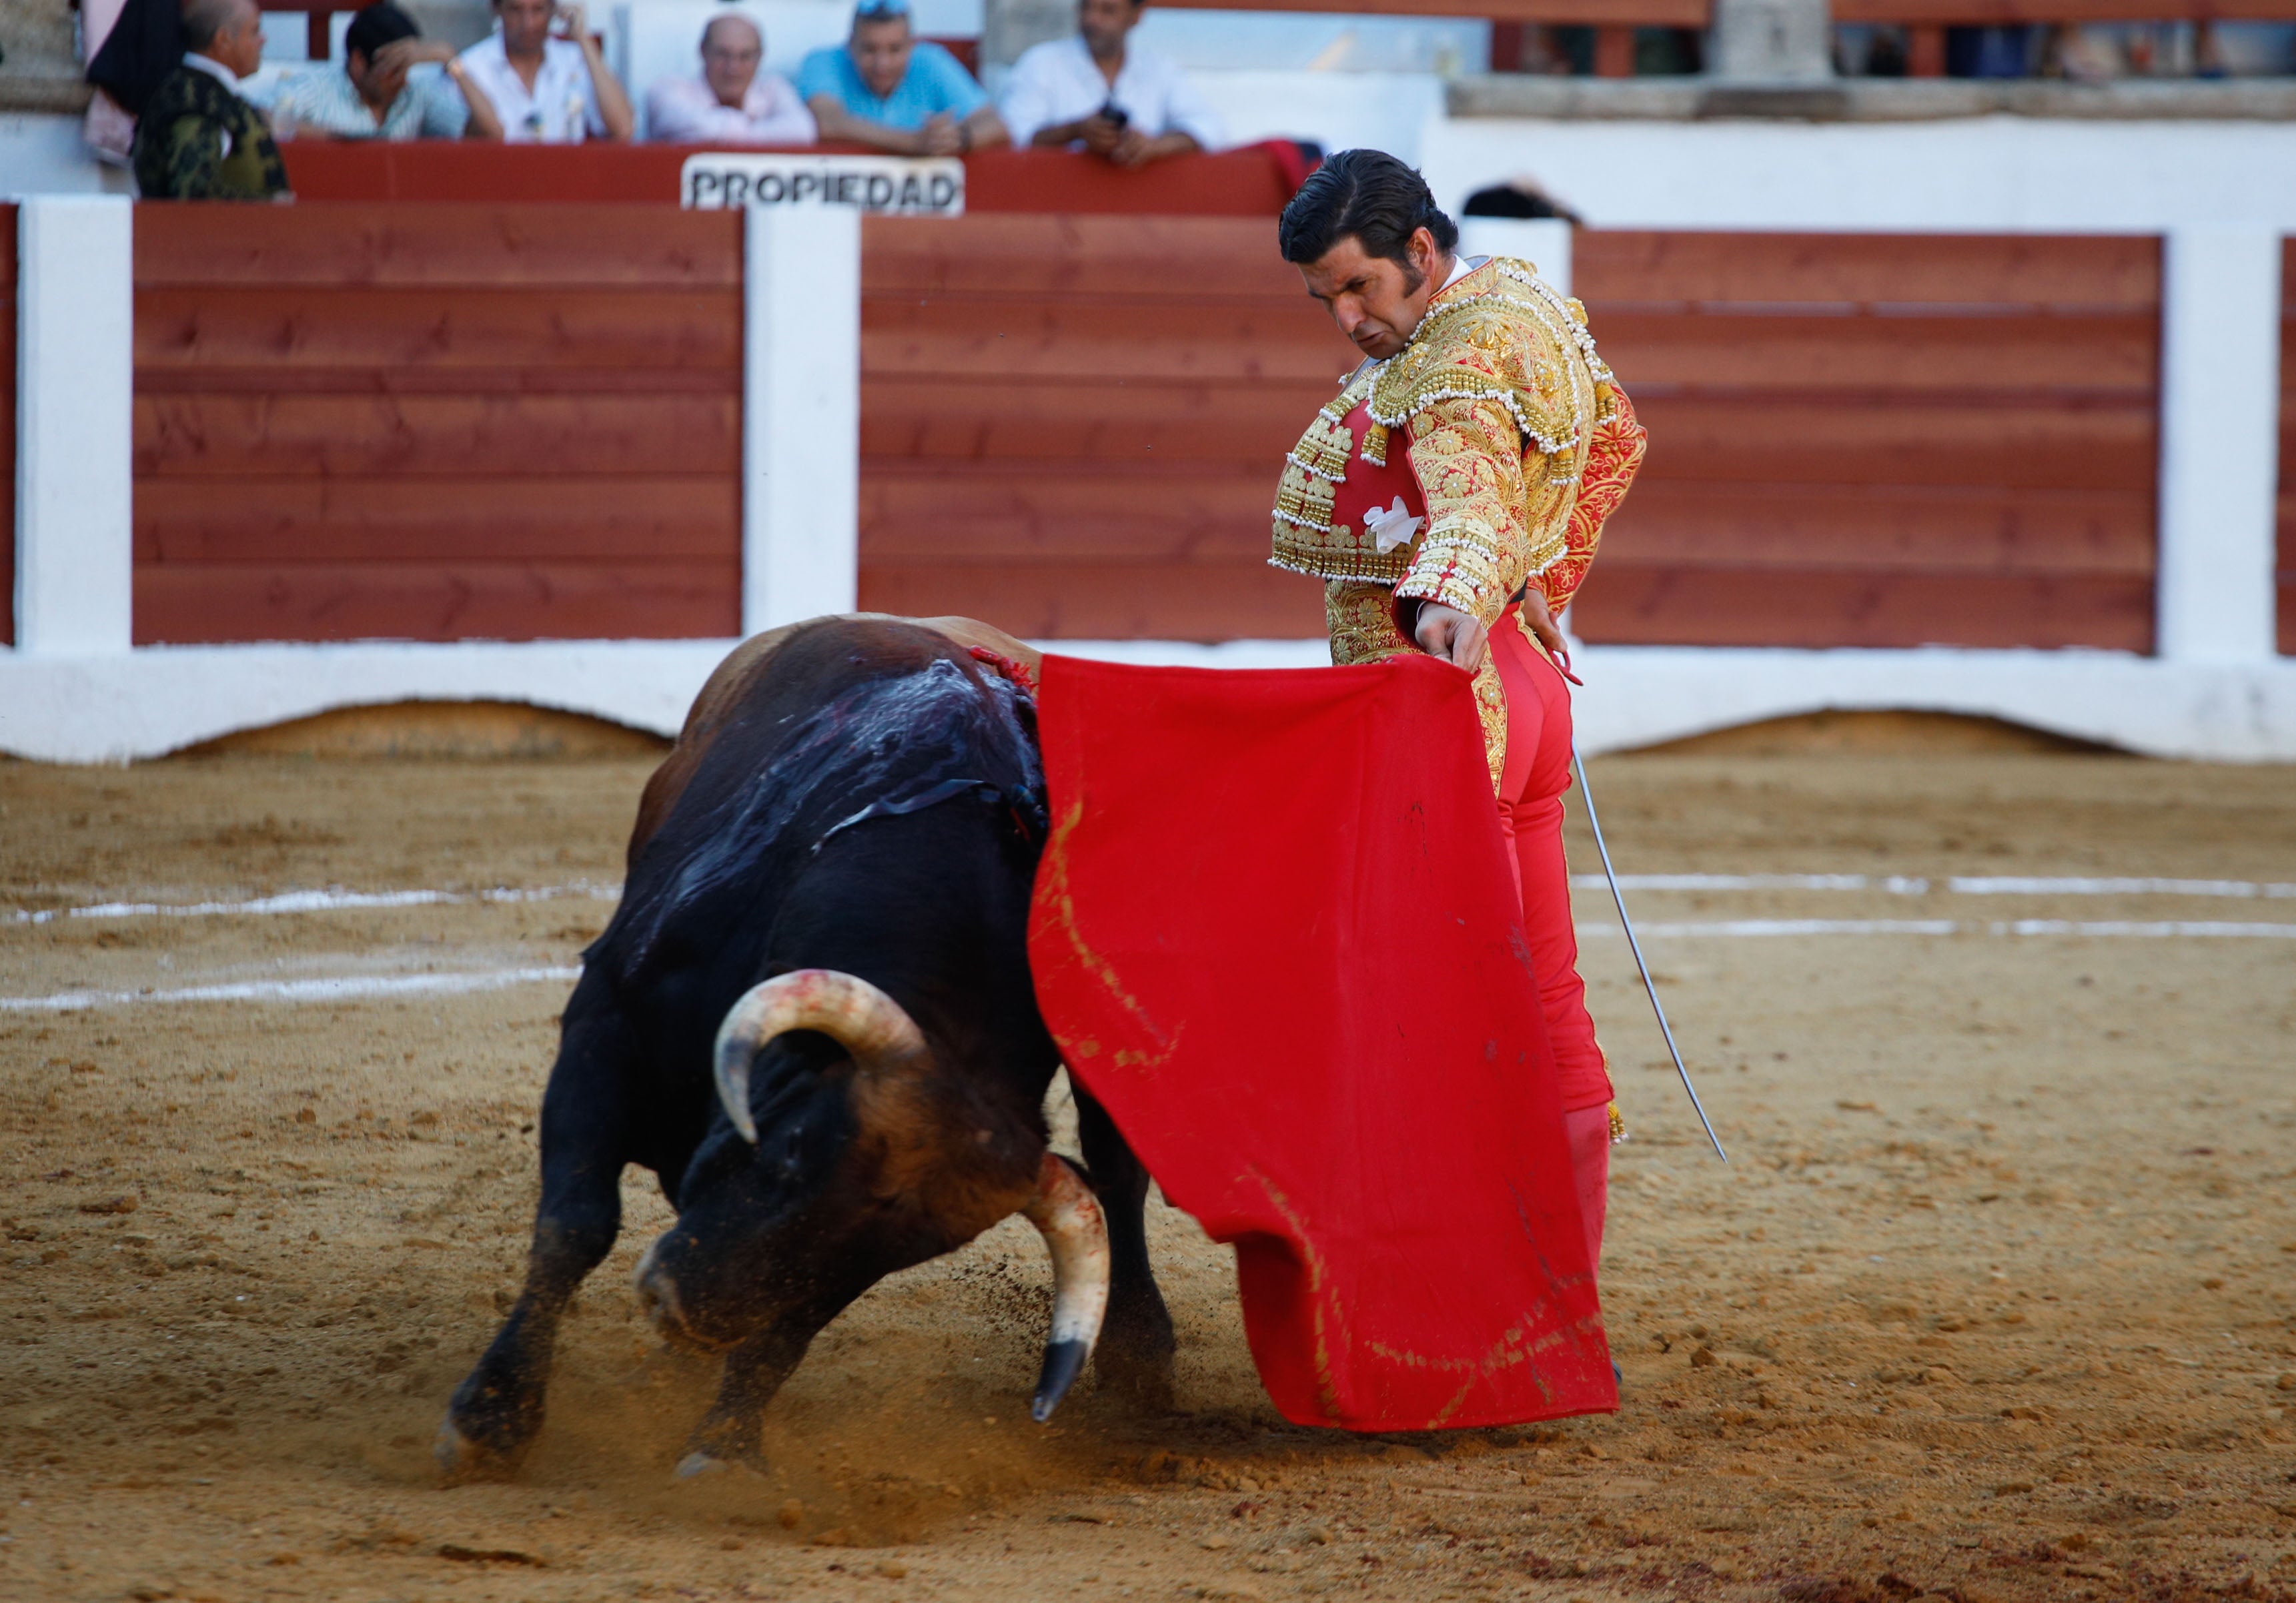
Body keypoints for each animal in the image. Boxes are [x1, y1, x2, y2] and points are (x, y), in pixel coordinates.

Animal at [436, 610, 1175, 1470]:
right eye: (792, 1151)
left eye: (895, 1254)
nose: (689, 1313)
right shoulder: (603, 1024)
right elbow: (574, 1224)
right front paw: (491, 1420)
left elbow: (788, 1329)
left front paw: (726, 1448)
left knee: (1118, 1171)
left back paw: (1139, 1357)